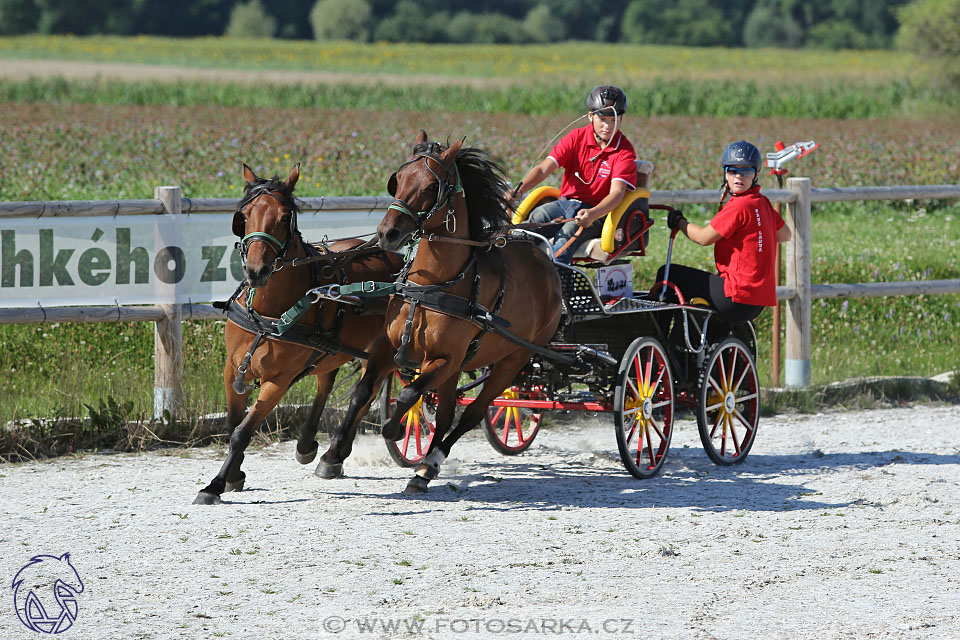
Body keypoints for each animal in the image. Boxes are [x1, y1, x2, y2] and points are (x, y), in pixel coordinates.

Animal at [193, 161, 404, 504]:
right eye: (244, 215)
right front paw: (235, 474)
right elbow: (232, 424)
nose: (256, 271)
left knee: (366, 392)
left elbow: (242, 432)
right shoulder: (231, 369)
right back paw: (314, 447)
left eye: (284, 217)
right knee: (329, 383)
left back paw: (337, 452)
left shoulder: (277, 381)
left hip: (385, 349)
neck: (268, 311)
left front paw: (215, 485)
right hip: (334, 348)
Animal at [316, 132, 568, 496]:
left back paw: (429, 463)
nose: (387, 233)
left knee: (473, 413)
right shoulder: (388, 346)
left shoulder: (446, 359)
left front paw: (394, 429)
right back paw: (423, 466)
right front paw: (333, 455)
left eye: (430, 186)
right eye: (398, 180)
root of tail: (546, 263)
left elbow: (410, 393)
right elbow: (364, 391)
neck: (432, 286)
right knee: (449, 411)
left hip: (512, 361)